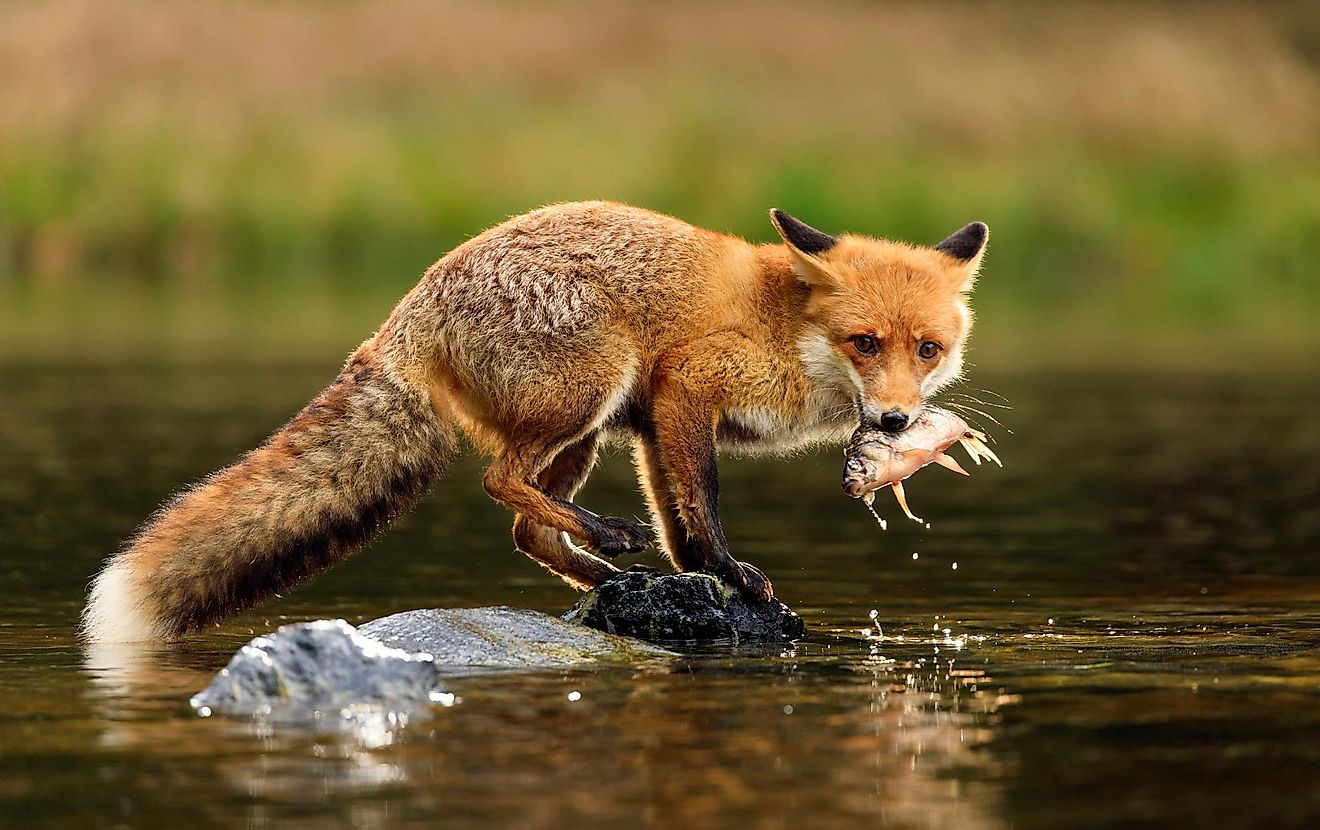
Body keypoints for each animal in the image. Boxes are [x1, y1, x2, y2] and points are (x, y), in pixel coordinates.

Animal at [79, 200, 992, 641]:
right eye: (864, 342)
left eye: (929, 348)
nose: (897, 420)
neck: (787, 329)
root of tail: (407, 310)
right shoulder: (685, 388)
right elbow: (701, 505)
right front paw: (731, 574)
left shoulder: (653, 422)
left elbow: (680, 523)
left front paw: (704, 578)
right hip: (588, 388)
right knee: (500, 480)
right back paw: (609, 542)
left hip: (589, 428)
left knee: (526, 526)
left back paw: (608, 574)